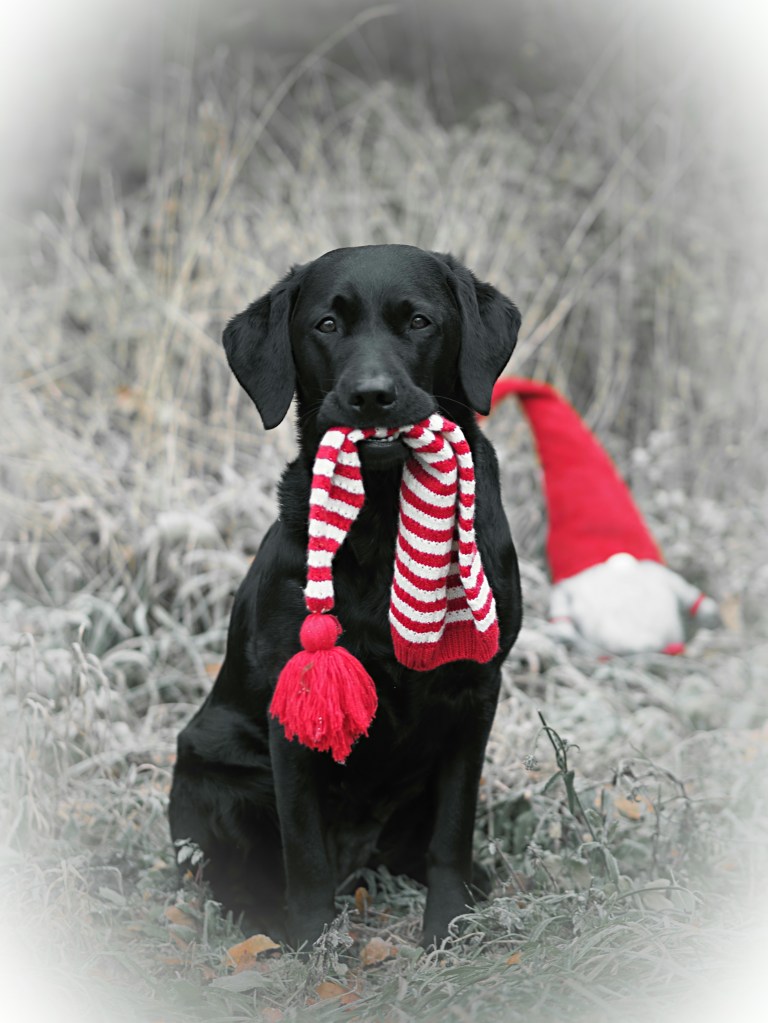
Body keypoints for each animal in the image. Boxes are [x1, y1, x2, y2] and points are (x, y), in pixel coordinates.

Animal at [169, 244, 522, 949]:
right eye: (326, 325)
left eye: (419, 322)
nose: (372, 397)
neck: (384, 523)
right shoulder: (293, 706)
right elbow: (302, 847)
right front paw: (313, 944)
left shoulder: (476, 692)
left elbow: (453, 831)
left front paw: (448, 926)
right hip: (208, 776)